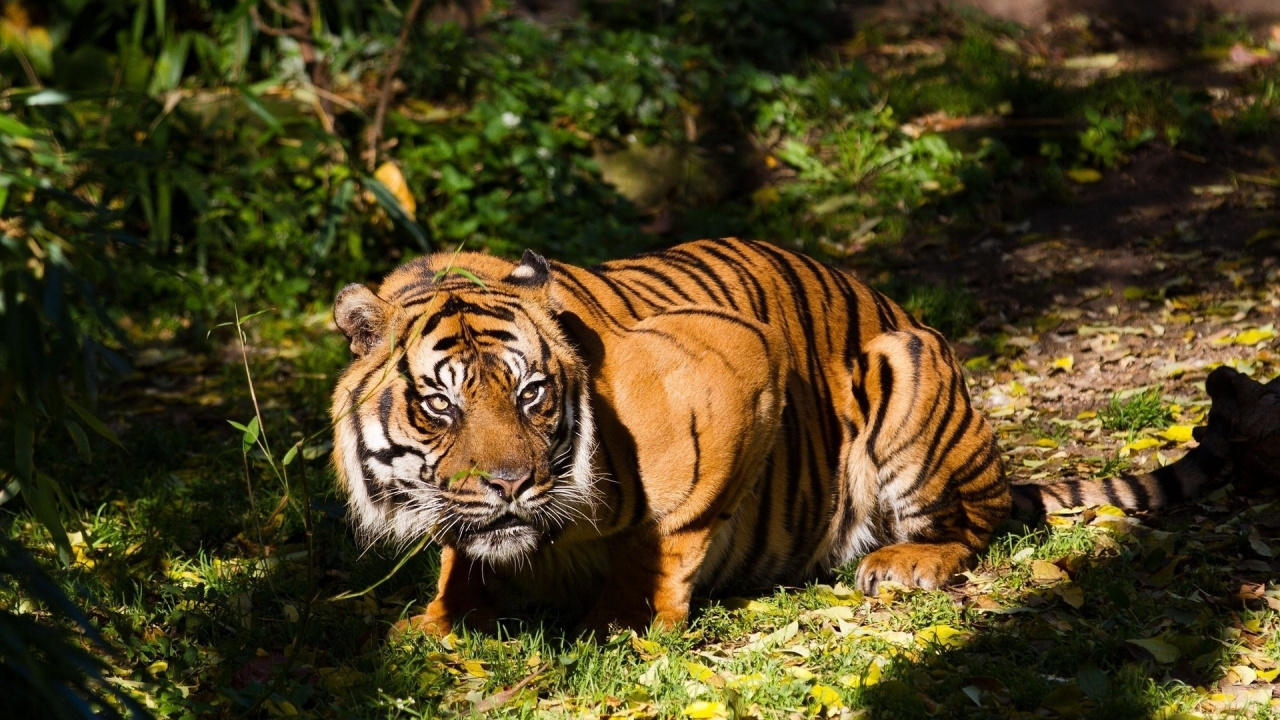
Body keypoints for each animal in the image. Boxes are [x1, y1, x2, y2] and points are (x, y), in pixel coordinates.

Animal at [330, 237, 1232, 635]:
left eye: (533, 394)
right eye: (440, 406)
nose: (512, 485)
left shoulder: (734, 367)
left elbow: (668, 532)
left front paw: (625, 620)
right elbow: (461, 553)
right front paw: (435, 621)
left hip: (907, 372)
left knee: (976, 525)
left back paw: (904, 564)